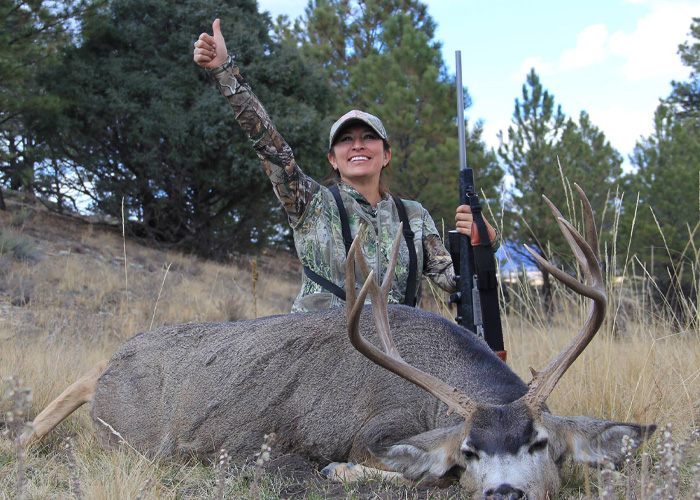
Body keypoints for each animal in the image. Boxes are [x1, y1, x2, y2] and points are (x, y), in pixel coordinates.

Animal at [19, 186, 655, 499]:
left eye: (542, 443)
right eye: (470, 451)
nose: (504, 494)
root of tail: (106, 367)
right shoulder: (359, 434)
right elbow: (405, 474)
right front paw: (340, 473)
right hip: (117, 438)